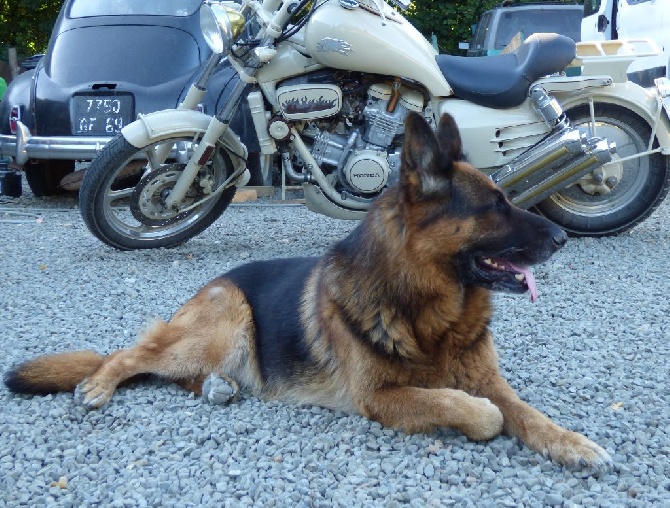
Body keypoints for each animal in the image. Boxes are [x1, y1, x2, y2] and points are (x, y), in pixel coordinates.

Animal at [5, 113, 616, 470]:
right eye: (495, 206)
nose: (562, 237)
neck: (429, 313)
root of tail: (212, 285)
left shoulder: (489, 380)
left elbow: (526, 412)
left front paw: (572, 442)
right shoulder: (381, 398)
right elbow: (475, 410)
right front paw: (481, 417)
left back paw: (218, 387)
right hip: (222, 322)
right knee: (130, 356)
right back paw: (97, 385)